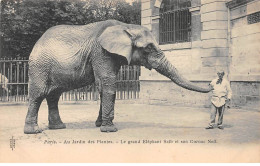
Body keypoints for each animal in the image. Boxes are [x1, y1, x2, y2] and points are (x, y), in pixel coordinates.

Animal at [23, 19, 211, 134]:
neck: (125, 26)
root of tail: (37, 42)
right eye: (148, 48)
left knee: (53, 95)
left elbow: (104, 87)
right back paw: (34, 131)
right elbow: (108, 85)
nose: (211, 84)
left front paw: (100, 125)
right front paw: (109, 130)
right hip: (40, 66)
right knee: (39, 94)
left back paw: (59, 127)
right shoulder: (100, 52)